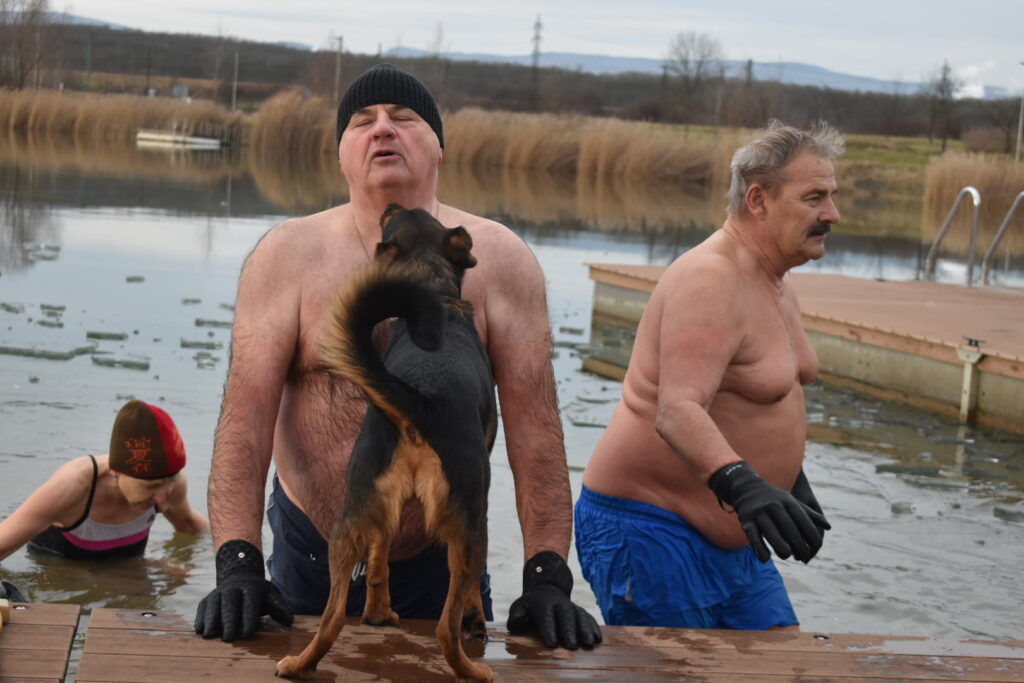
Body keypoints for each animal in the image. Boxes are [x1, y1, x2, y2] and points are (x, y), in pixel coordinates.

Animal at [275, 204, 497, 682]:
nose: (391, 205)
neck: (436, 289)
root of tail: (422, 396)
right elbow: (469, 596)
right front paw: (475, 619)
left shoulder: (382, 512)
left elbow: (379, 557)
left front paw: (378, 610)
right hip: (470, 525)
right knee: (446, 628)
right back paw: (473, 670)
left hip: (349, 518)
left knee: (331, 617)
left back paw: (300, 663)